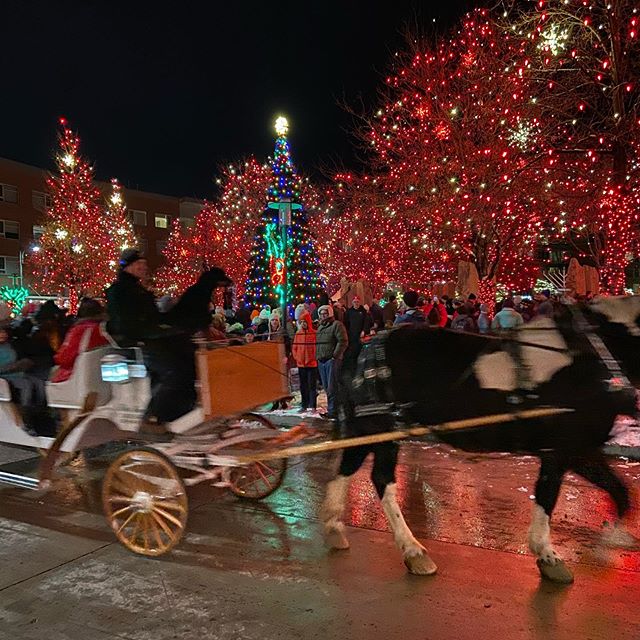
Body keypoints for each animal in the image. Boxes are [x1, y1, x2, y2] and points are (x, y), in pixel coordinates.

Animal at [322, 298, 640, 584]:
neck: (592, 357)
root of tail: (362, 346)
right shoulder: (563, 449)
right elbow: (549, 497)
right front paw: (550, 555)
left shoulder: (582, 450)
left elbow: (619, 491)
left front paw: (611, 540)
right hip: (382, 426)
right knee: (380, 478)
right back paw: (413, 550)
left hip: (376, 428)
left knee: (351, 466)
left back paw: (335, 527)